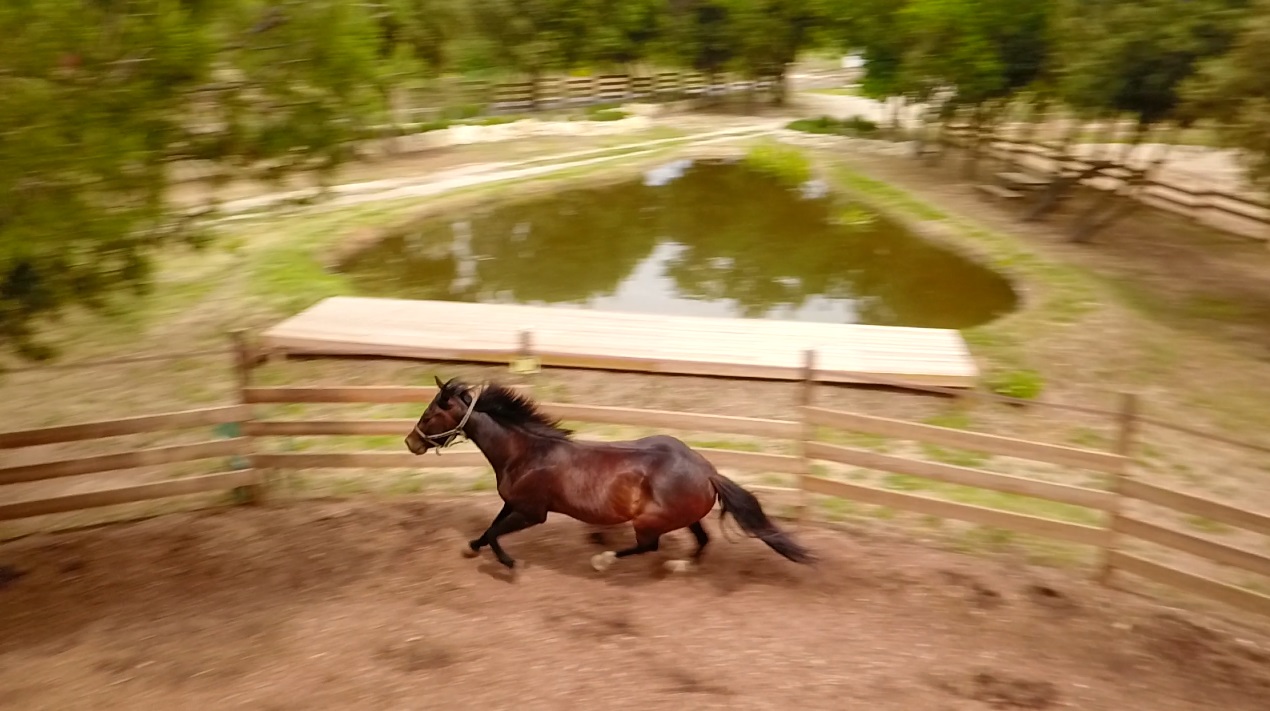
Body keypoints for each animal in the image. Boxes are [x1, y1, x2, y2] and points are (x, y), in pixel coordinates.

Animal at [404, 376, 814, 575]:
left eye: (430, 414)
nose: (411, 441)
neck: (526, 453)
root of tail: (708, 471)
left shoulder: (532, 512)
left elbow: (494, 534)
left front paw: (510, 564)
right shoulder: (514, 503)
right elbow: (489, 528)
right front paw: (469, 548)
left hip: (649, 521)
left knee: (649, 546)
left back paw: (603, 560)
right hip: (682, 516)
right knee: (702, 540)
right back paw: (681, 566)